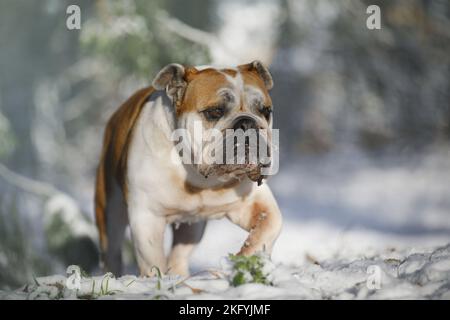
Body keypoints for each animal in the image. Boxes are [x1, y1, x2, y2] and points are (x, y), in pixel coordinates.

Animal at [94, 61, 282, 276]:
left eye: (265, 110)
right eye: (214, 112)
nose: (247, 122)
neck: (200, 175)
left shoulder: (256, 204)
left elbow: (268, 227)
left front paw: (244, 262)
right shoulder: (147, 218)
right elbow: (153, 261)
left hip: (192, 229)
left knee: (179, 254)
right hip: (110, 215)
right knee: (112, 252)